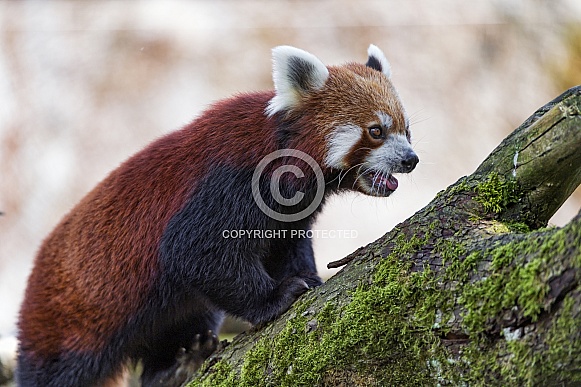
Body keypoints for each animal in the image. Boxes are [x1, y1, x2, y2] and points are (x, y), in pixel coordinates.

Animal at [17, 44, 416, 386]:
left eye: (406, 130)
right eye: (376, 131)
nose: (411, 159)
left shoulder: (287, 214)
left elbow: (285, 246)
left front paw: (307, 277)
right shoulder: (229, 183)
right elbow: (196, 252)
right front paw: (278, 297)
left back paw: (177, 364)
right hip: (67, 321)